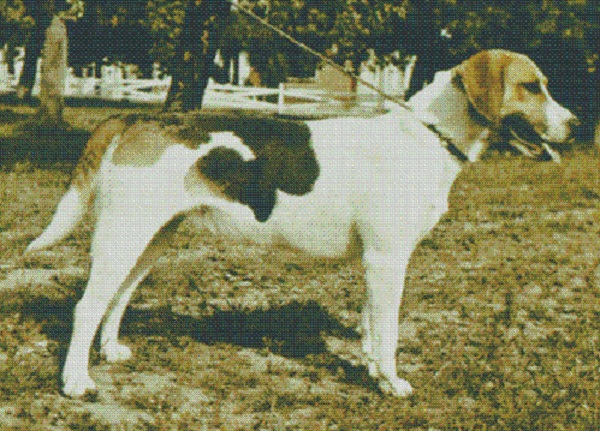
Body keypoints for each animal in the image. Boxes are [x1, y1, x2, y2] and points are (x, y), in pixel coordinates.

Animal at [27, 49, 576, 398]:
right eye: (532, 87)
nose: (573, 126)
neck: (428, 135)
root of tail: (139, 118)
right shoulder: (388, 260)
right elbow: (389, 331)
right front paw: (391, 384)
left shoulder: (374, 263)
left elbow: (370, 329)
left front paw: (372, 371)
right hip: (125, 238)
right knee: (86, 306)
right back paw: (75, 382)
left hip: (150, 240)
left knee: (116, 297)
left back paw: (109, 351)